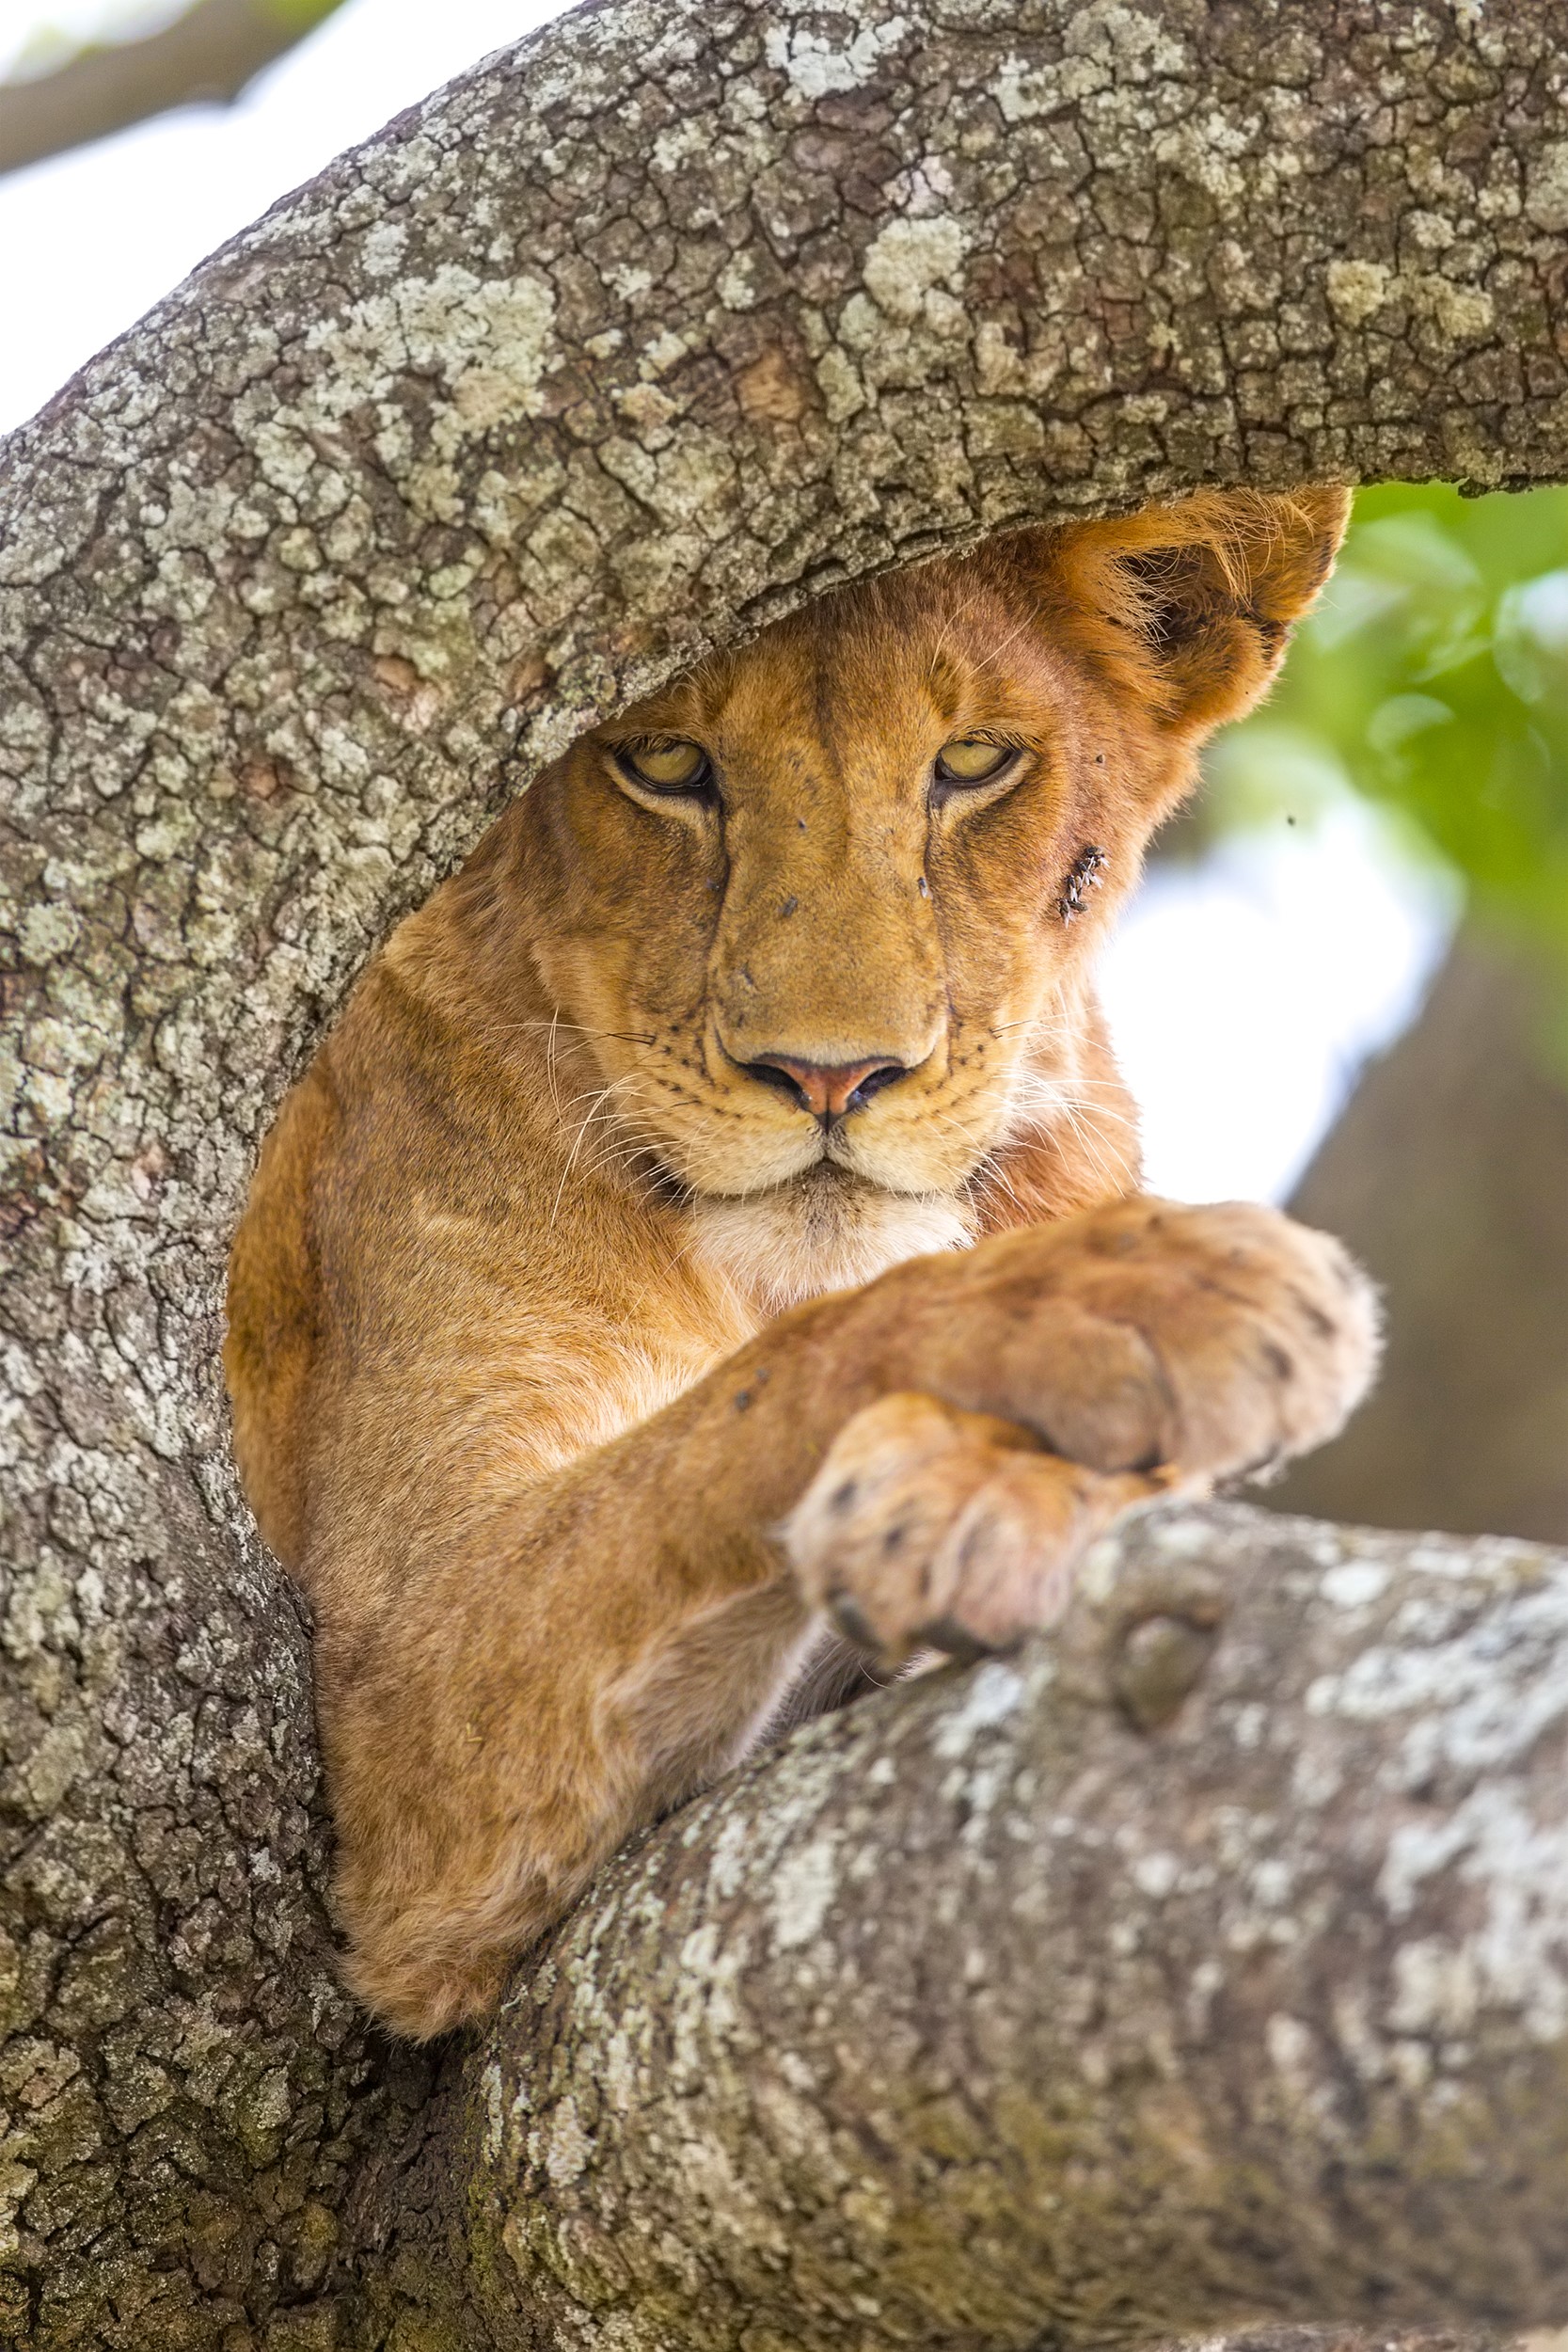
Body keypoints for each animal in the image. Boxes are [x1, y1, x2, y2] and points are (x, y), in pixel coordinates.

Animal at [224, 485, 1378, 2039]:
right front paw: (1148, 1296)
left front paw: (985, 1491)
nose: (830, 1077)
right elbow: (756, 1392)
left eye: (971, 763)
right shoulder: (402, 1693)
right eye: (661, 762)